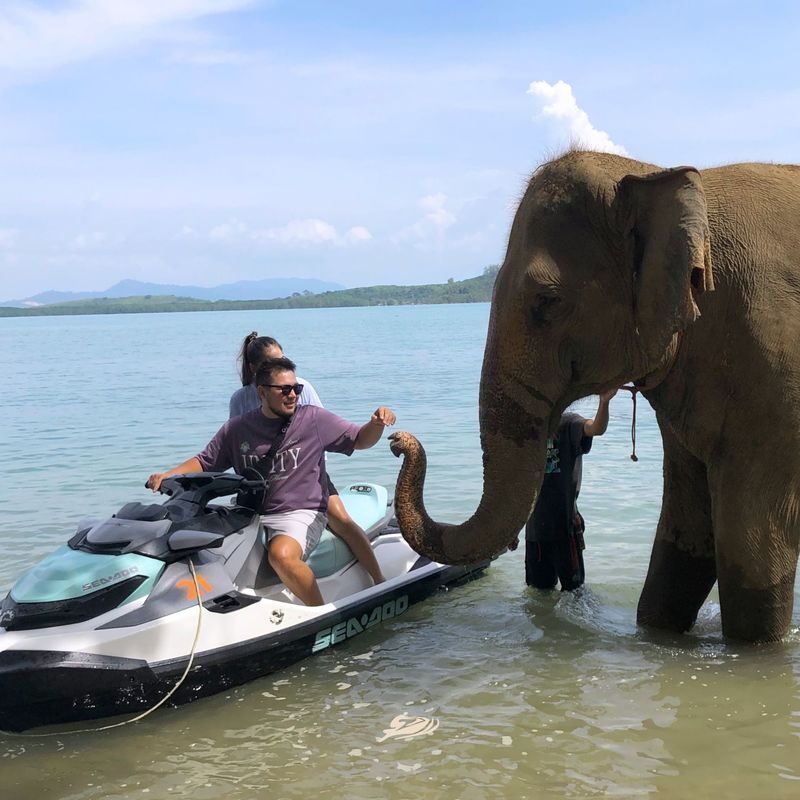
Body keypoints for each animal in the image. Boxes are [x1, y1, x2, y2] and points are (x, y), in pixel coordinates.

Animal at [390, 150, 800, 643]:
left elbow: (750, 550)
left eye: (547, 301)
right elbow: (684, 530)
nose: (398, 439)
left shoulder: (774, 369)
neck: (650, 172)